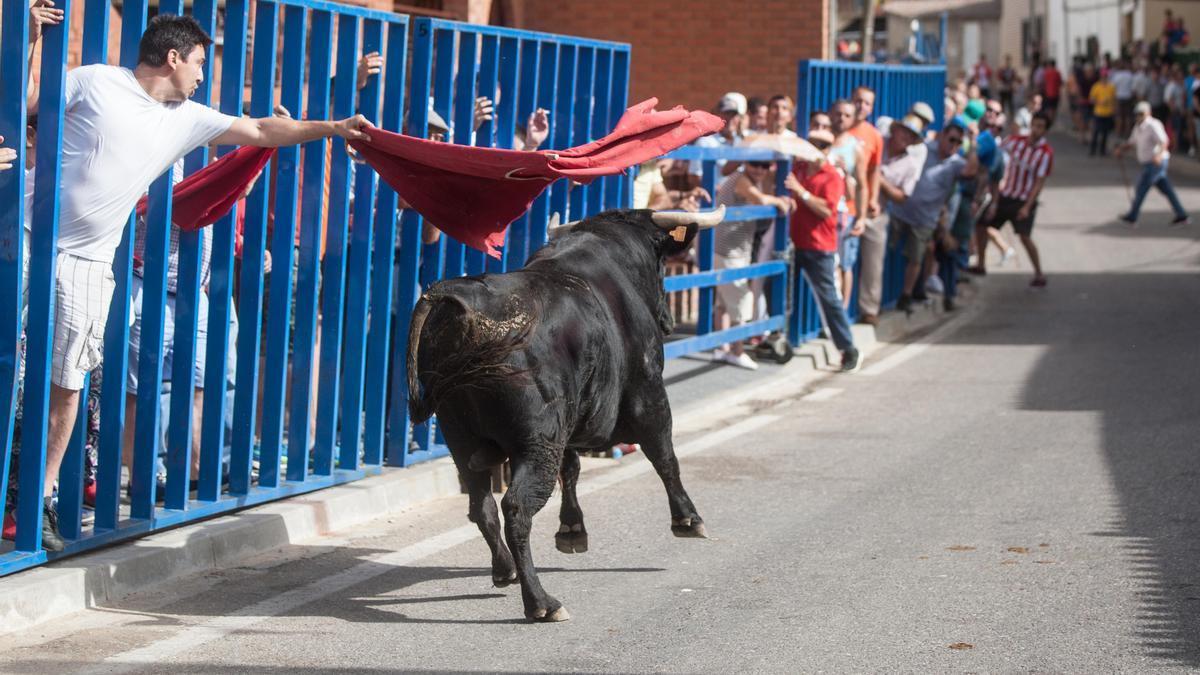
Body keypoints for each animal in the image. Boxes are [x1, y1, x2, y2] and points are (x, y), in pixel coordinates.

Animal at [408, 206, 715, 619]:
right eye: (662, 264)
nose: (667, 321)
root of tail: (466, 306)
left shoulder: (571, 418)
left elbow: (571, 468)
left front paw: (571, 529)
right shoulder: (648, 394)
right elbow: (665, 456)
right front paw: (688, 519)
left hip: (462, 438)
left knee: (482, 506)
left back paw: (505, 570)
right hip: (537, 443)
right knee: (516, 509)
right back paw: (540, 602)